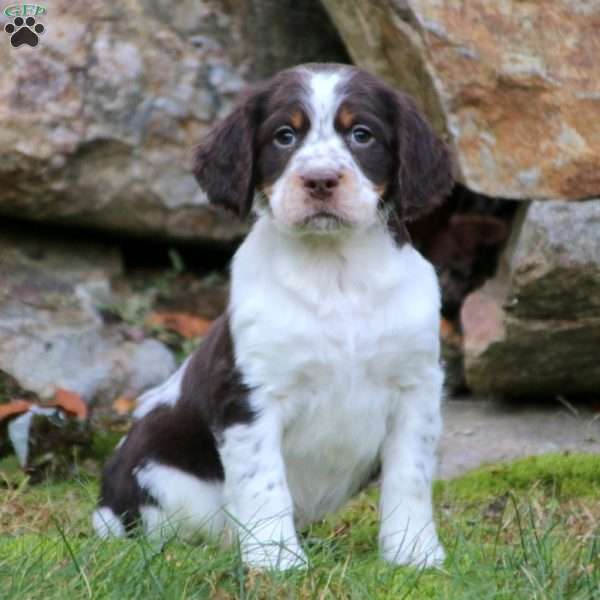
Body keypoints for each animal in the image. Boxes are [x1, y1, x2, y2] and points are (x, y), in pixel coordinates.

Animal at [92, 63, 450, 568]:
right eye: (285, 136)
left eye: (361, 134)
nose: (320, 180)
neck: (334, 272)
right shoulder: (250, 395)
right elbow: (264, 483)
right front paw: (277, 560)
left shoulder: (416, 385)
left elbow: (410, 476)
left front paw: (413, 553)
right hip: (159, 476)